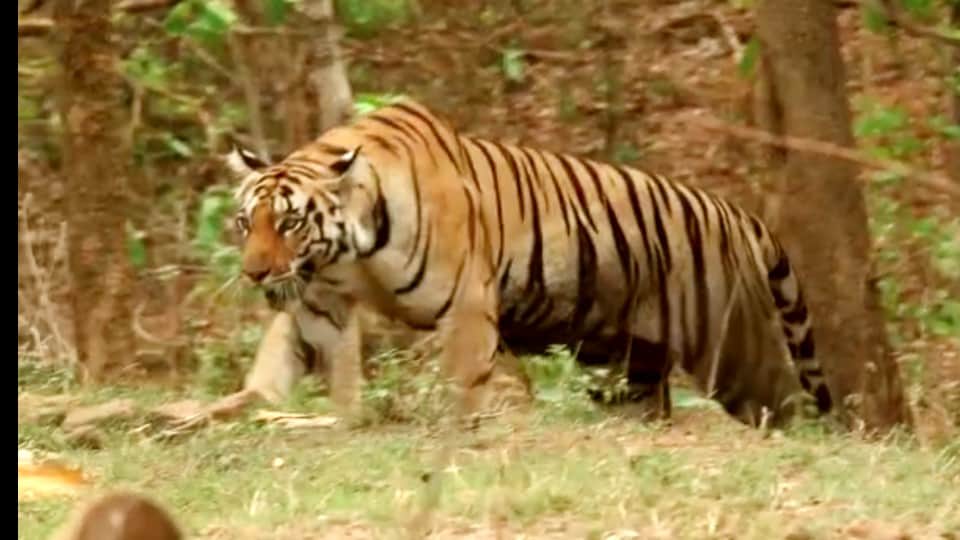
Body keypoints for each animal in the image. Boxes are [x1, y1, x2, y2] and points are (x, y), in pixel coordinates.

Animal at [225, 99, 833, 427]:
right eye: (245, 223)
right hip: (635, 359)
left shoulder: (466, 307)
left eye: (288, 224)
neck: (355, 247)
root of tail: (739, 214)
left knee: (784, 403)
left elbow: (467, 383)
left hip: (738, 353)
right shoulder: (319, 300)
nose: (255, 273)